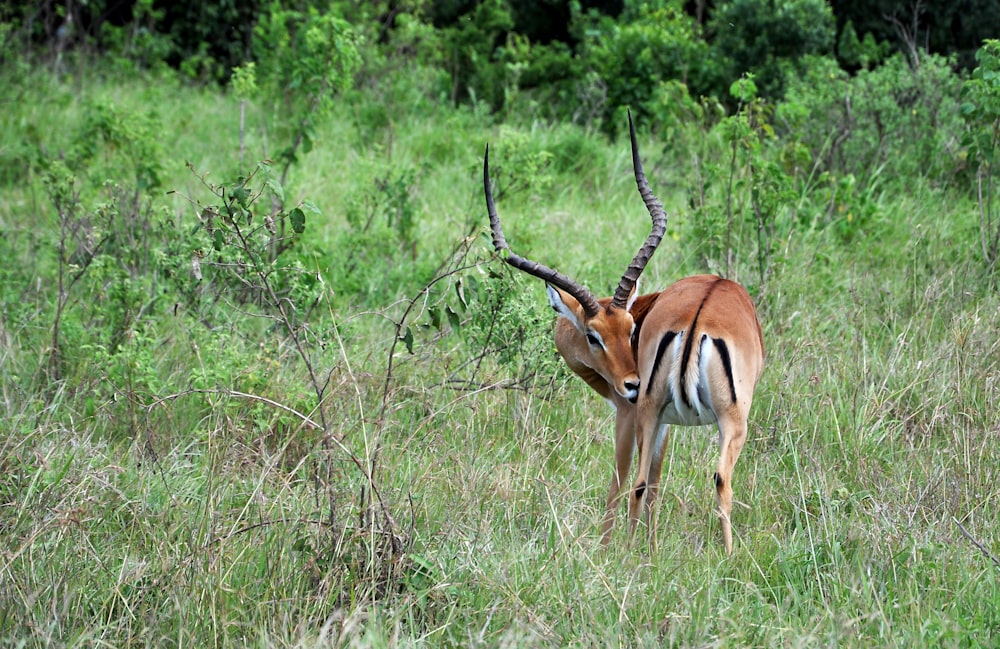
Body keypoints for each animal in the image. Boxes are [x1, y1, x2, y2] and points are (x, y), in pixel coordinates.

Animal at [484, 111, 764, 552]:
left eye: (631, 327)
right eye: (594, 335)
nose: (631, 384)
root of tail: (698, 319)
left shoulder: (629, 414)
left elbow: (621, 480)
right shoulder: (653, 418)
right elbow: (650, 482)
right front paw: (642, 548)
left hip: (695, 416)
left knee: (660, 482)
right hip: (702, 418)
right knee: (678, 481)